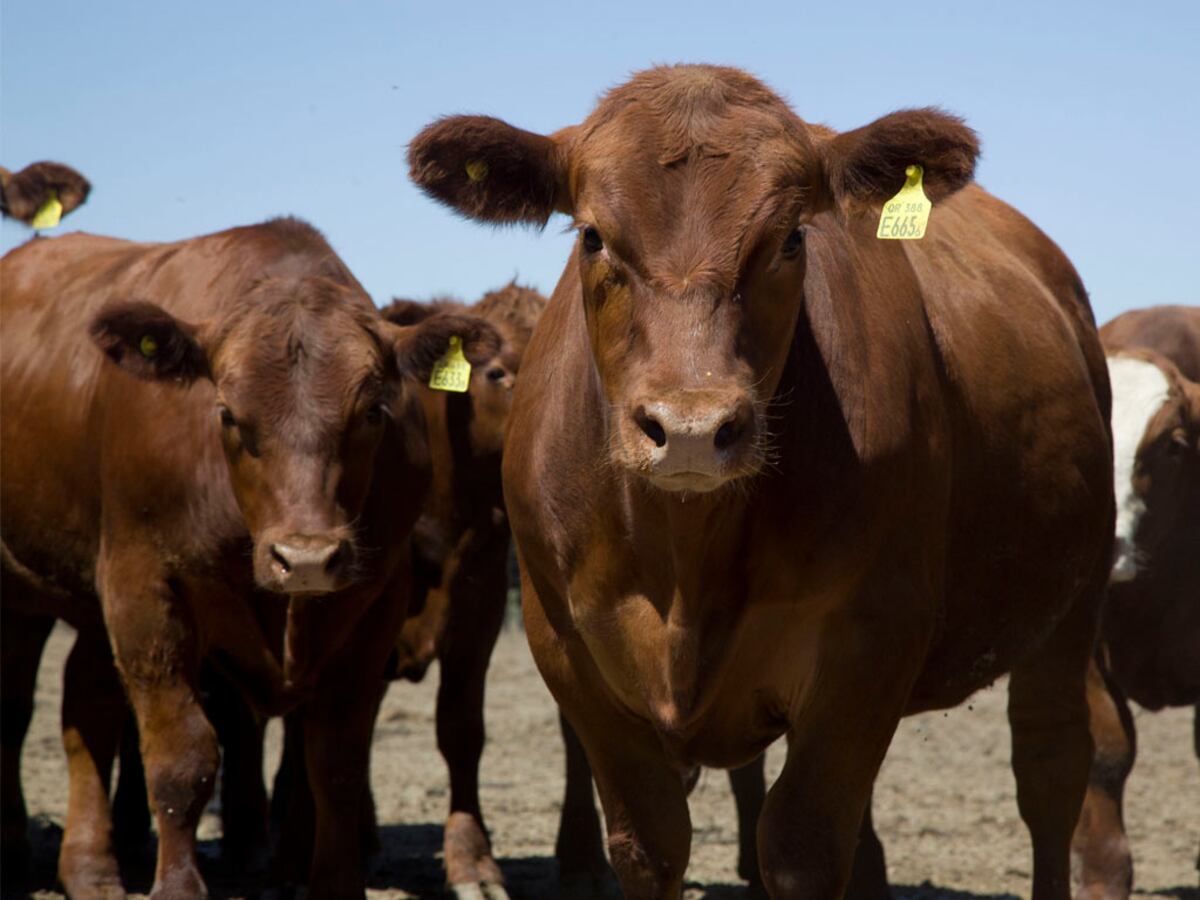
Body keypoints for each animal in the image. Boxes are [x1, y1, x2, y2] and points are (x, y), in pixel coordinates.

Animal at [0, 217, 499, 899]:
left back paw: (91, 869)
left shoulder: (376, 601)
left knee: (85, 702)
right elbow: (182, 757)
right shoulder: (144, 589)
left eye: (373, 411)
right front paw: (178, 887)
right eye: (229, 414)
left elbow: (336, 761)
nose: (306, 558)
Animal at [408, 64, 1114, 899]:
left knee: (1051, 767)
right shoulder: (571, 653)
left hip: (1073, 601)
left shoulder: (868, 645)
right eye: (591, 236)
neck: (687, 562)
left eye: (791, 238)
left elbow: (802, 848)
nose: (689, 427)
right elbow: (649, 844)